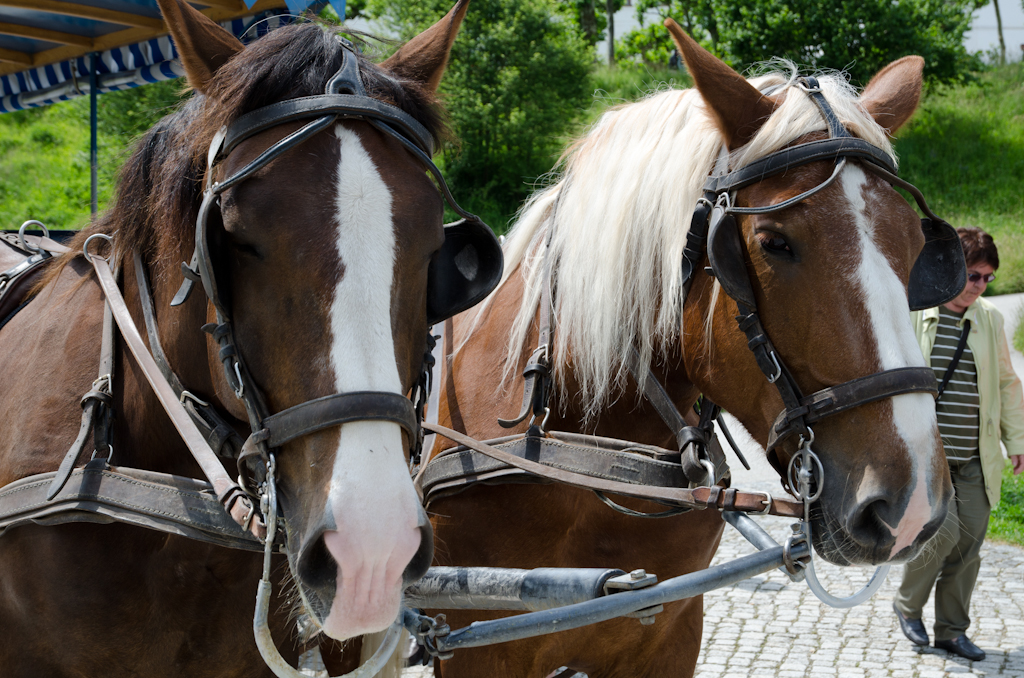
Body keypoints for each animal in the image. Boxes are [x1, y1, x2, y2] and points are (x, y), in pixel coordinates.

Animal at [421, 22, 950, 678]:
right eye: (773, 242)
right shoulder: (477, 644)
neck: (580, 452)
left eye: (916, 246)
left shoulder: (671, 632)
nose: (910, 505)